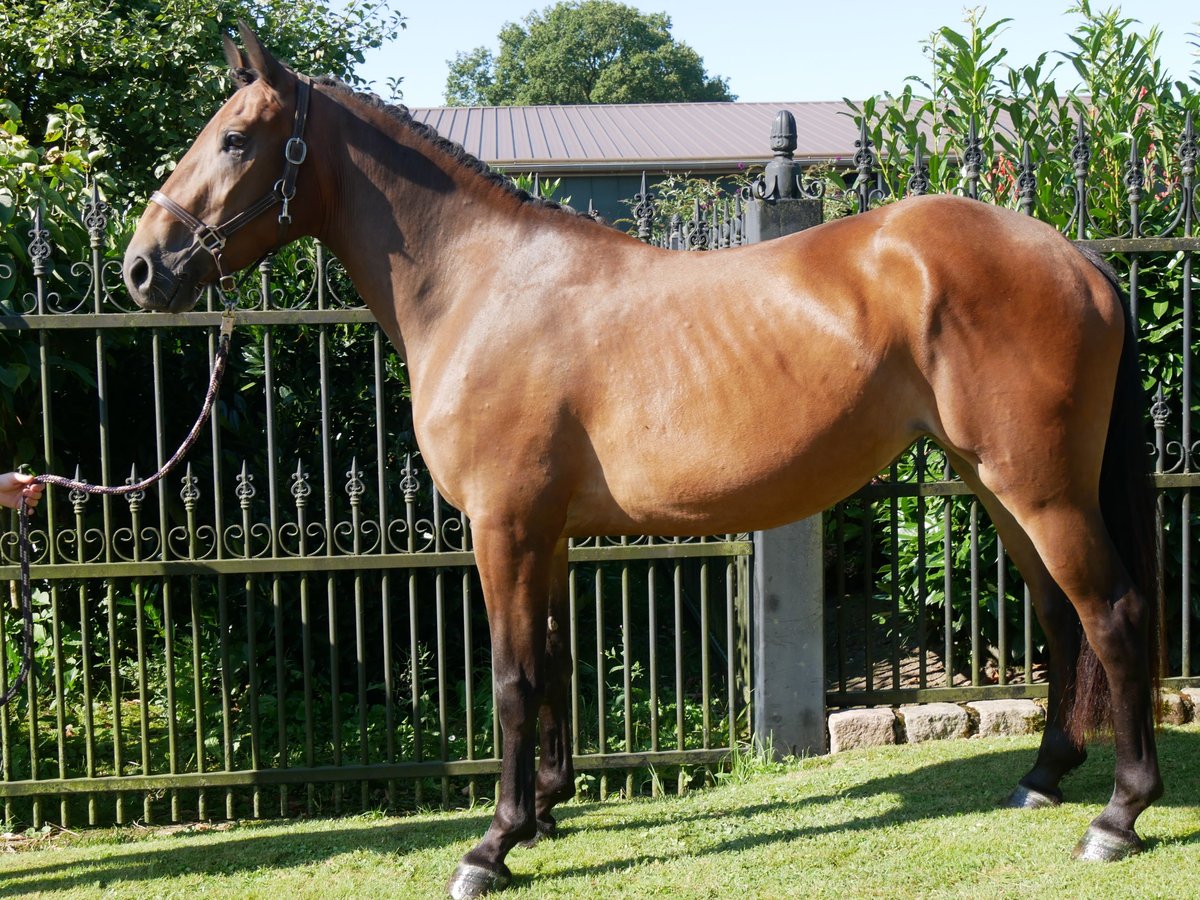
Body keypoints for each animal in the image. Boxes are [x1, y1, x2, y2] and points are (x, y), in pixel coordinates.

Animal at [124, 24, 1161, 897]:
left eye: (234, 140)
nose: (143, 265)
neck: (482, 284)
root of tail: (1076, 255)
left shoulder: (502, 526)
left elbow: (511, 678)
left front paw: (490, 846)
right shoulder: (544, 533)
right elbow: (553, 663)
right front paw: (544, 810)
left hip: (1040, 488)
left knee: (1111, 614)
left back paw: (1118, 816)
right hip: (999, 485)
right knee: (1061, 617)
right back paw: (1042, 777)